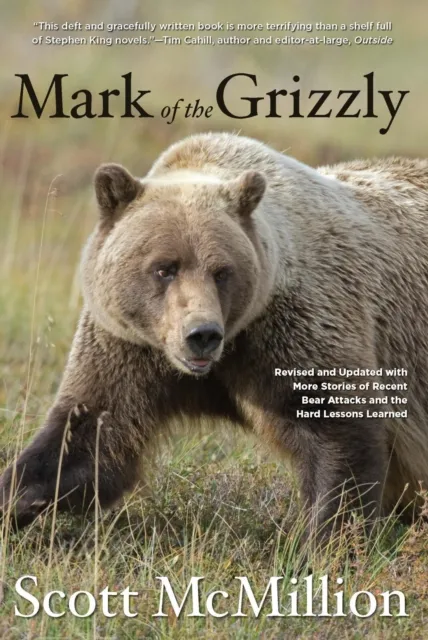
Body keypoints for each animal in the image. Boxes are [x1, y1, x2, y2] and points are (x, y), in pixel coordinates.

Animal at [1, 132, 428, 544]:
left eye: (222, 271)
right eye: (164, 268)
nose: (202, 334)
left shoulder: (300, 330)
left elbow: (339, 434)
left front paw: (325, 543)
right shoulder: (129, 348)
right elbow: (91, 440)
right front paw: (16, 500)